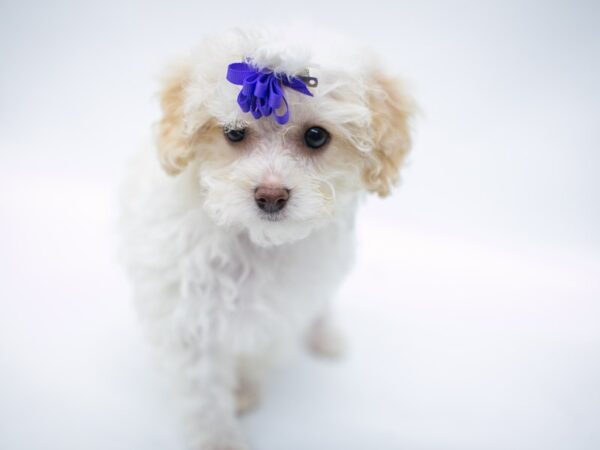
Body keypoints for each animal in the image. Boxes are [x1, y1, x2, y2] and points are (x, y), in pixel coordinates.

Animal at [119, 26, 414, 448]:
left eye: (315, 136)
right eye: (234, 133)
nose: (271, 195)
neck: (257, 245)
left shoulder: (280, 311)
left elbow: (257, 351)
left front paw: (244, 390)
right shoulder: (188, 319)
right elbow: (204, 394)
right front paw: (219, 438)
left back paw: (326, 335)